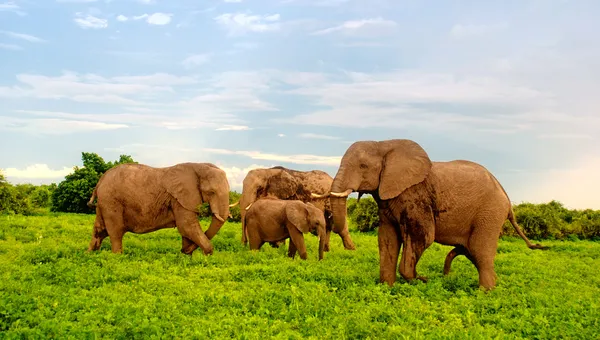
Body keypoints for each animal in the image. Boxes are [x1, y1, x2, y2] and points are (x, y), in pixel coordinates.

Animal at [85, 162, 233, 255]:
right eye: (211, 192)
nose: (183, 251)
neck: (199, 166)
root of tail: (100, 181)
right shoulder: (178, 198)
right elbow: (186, 226)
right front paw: (205, 255)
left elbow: (186, 229)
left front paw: (186, 257)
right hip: (111, 202)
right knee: (115, 232)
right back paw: (117, 257)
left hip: (103, 203)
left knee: (99, 230)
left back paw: (89, 254)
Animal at [326, 138, 548, 290]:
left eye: (363, 166)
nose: (429, 278)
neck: (383, 144)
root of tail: (507, 198)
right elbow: (387, 239)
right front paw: (387, 288)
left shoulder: (415, 195)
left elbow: (423, 236)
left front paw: (421, 279)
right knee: (472, 252)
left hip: (490, 212)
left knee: (480, 252)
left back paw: (485, 293)